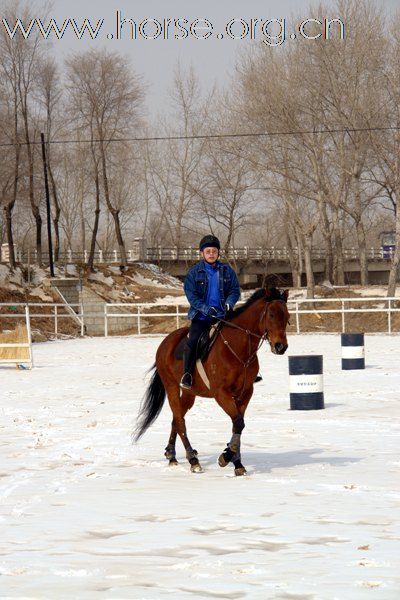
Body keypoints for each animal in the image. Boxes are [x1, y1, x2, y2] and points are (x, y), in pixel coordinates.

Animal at [135, 288, 290, 476]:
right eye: (272, 315)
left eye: (287, 316)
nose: (281, 346)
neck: (237, 348)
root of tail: (165, 343)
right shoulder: (221, 393)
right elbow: (238, 422)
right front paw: (226, 457)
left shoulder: (245, 393)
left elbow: (238, 425)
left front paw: (236, 462)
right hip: (172, 387)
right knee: (180, 422)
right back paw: (192, 460)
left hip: (189, 393)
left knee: (176, 419)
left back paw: (171, 455)